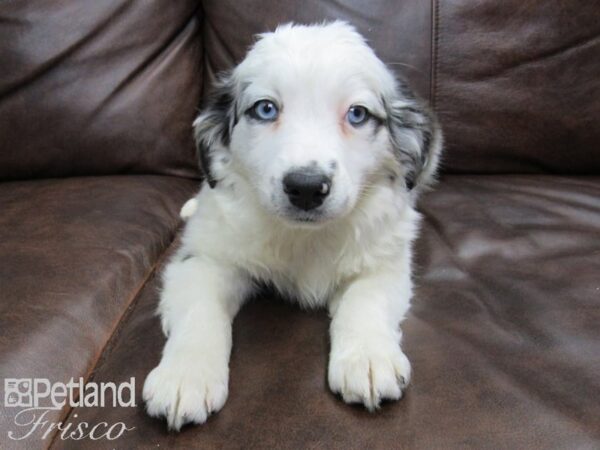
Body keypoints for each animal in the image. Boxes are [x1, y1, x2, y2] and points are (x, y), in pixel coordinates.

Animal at [144, 22, 442, 432]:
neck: (306, 237)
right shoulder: (205, 259)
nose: (306, 187)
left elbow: (365, 297)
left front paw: (367, 359)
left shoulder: (386, 261)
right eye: (266, 109)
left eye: (358, 114)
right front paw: (184, 376)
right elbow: (199, 309)